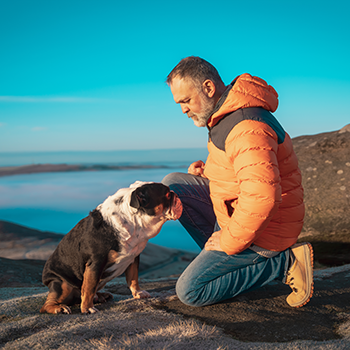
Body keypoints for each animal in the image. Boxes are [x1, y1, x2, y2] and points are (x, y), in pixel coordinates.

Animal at [40, 180, 183, 314]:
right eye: (167, 194)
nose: (175, 193)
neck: (134, 222)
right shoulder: (95, 263)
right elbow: (89, 288)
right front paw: (87, 308)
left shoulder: (134, 257)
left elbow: (133, 278)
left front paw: (138, 293)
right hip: (62, 284)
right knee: (48, 304)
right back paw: (59, 308)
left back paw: (100, 296)